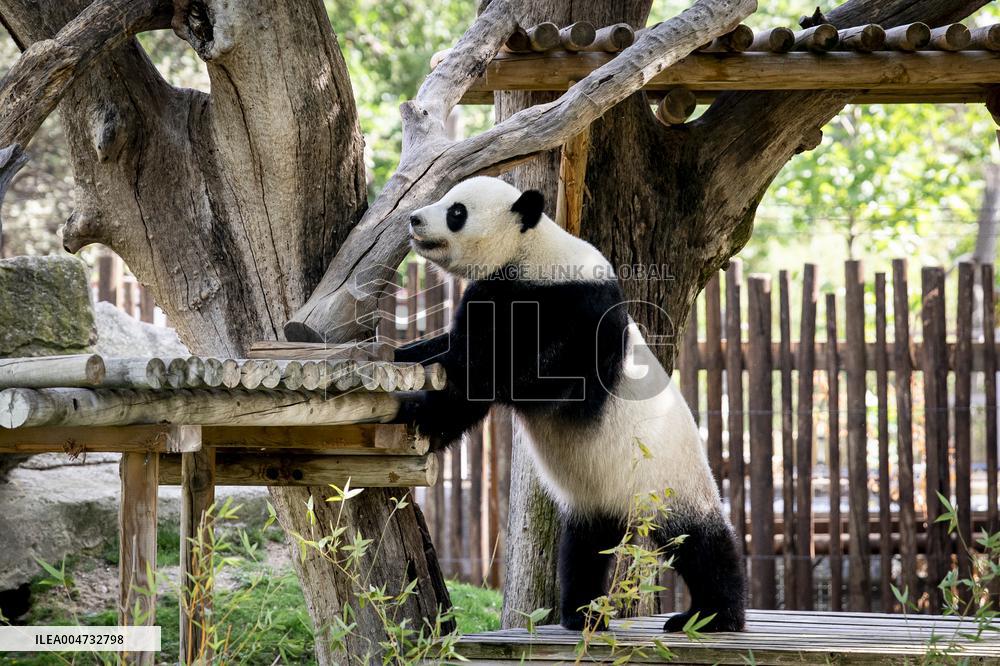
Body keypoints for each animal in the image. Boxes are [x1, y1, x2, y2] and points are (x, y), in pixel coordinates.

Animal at [393, 176, 746, 633]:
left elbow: (513, 380)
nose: (414, 218)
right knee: (585, 548)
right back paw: (581, 613)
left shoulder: (578, 308)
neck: (530, 253)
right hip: (596, 495)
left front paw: (420, 407)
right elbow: (455, 354)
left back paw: (713, 616)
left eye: (457, 211)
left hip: (667, 478)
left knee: (699, 542)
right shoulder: (495, 295)